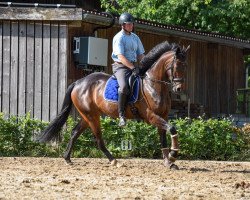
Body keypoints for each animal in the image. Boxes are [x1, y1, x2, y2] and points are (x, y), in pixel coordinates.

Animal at [38, 41, 188, 170]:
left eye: (185, 66)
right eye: (176, 66)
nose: (179, 88)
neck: (152, 85)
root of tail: (79, 82)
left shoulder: (163, 116)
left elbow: (163, 139)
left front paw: (169, 162)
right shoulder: (151, 116)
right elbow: (172, 129)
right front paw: (173, 154)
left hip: (88, 116)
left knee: (75, 132)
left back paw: (67, 158)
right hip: (91, 116)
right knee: (98, 139)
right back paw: (114, 161)